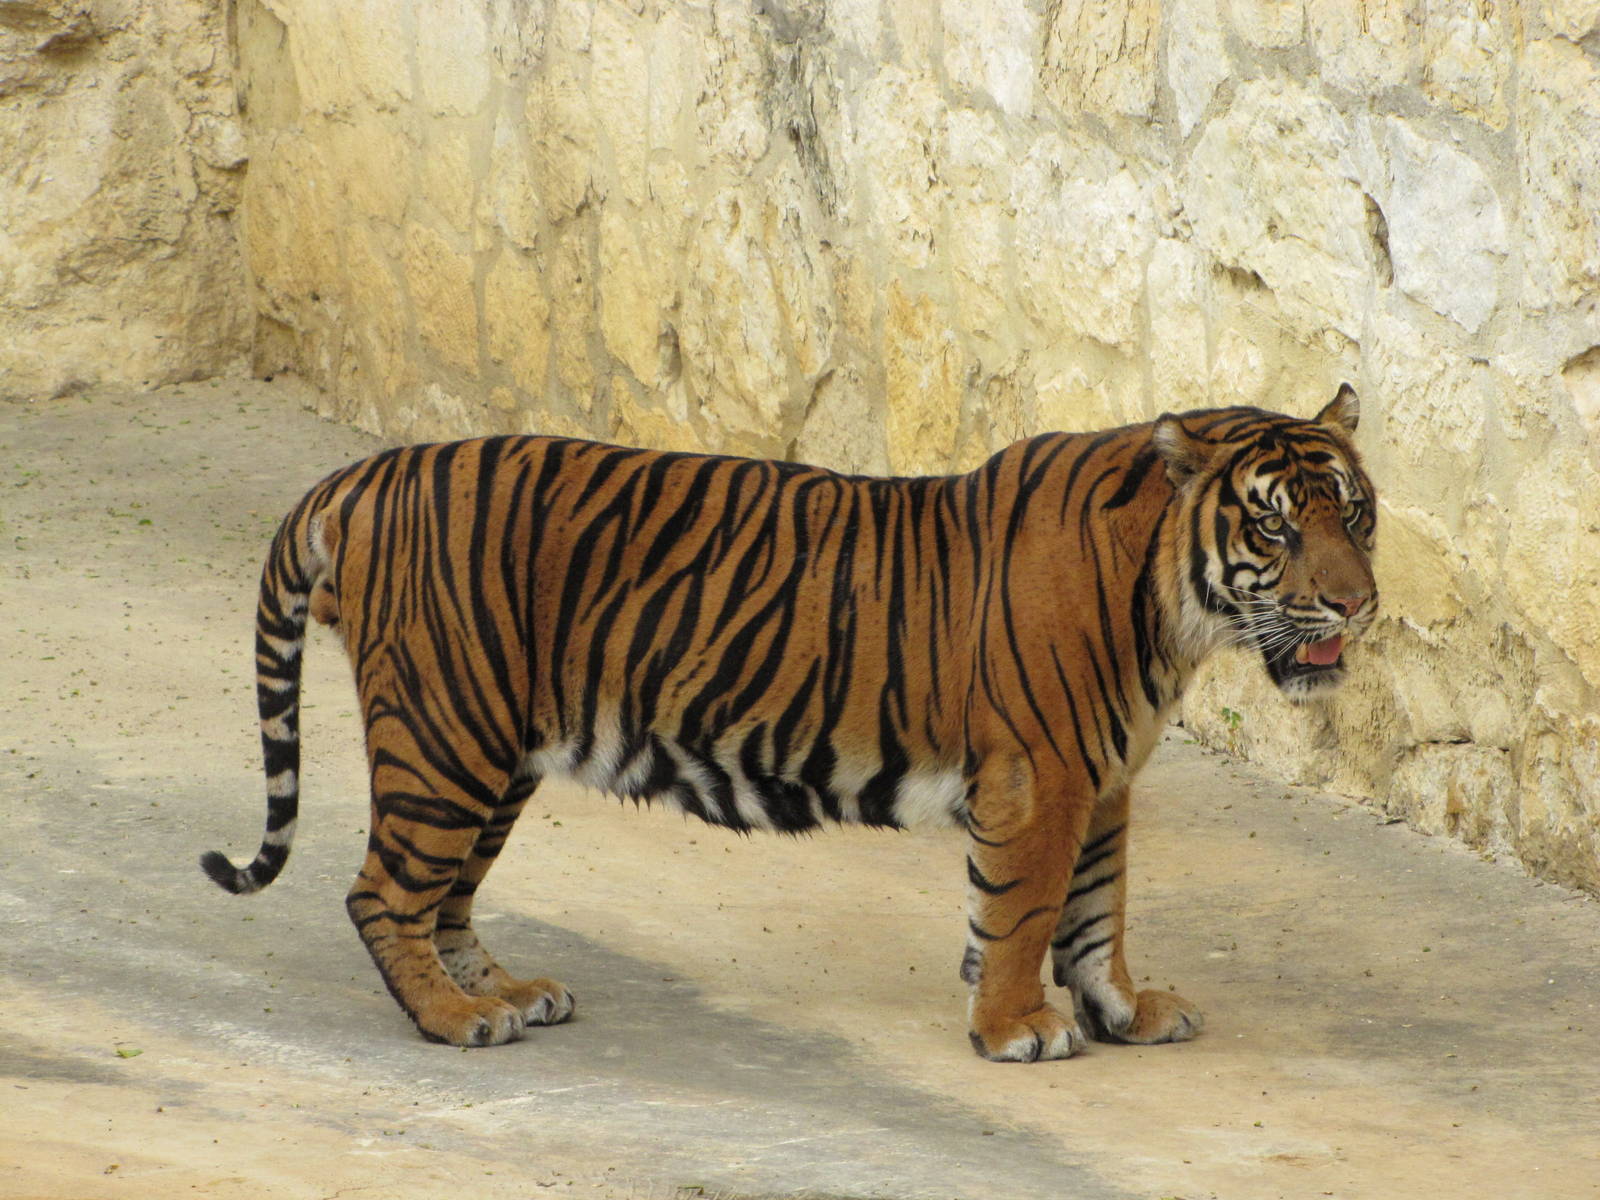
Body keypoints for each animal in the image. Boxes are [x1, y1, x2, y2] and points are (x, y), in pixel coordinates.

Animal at [202, 385, 1377, 1062]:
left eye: (1356, 515)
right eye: (1275, 526)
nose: (1358, 604)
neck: (1175, 610)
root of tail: (364, 473)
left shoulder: (1104, 782)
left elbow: (1096, 918)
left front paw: (1123, 1014)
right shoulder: (1039, 778)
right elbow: (1024, 912)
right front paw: (1013, 1028)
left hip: (496, 755)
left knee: (445, 896)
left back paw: (508, 993)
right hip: (447, 736)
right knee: (383, 892)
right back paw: (454, 1021)